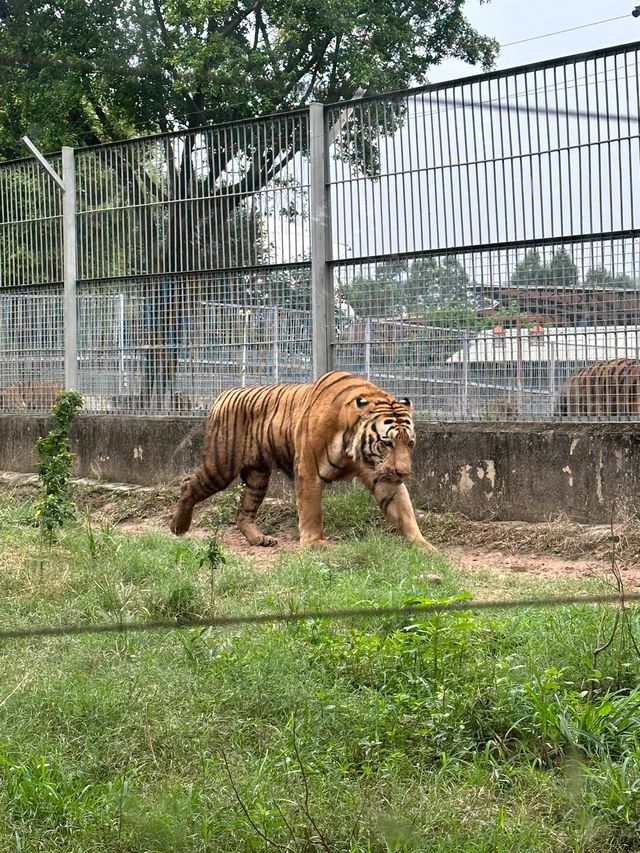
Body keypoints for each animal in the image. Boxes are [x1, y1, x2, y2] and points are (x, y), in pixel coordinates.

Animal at [171, 372, 440, 552]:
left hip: (258, 476)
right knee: (187, 483)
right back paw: (178, 527)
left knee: (245, 511)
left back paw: (259, 539)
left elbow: (404, 510)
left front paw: (424, 546)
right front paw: (314, 543)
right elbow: (311, 509)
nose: (404, 472)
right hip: (221, 466)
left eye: (410, 443)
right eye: (387, 443)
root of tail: (224, 393)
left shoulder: (382, 475)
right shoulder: (309, 470)